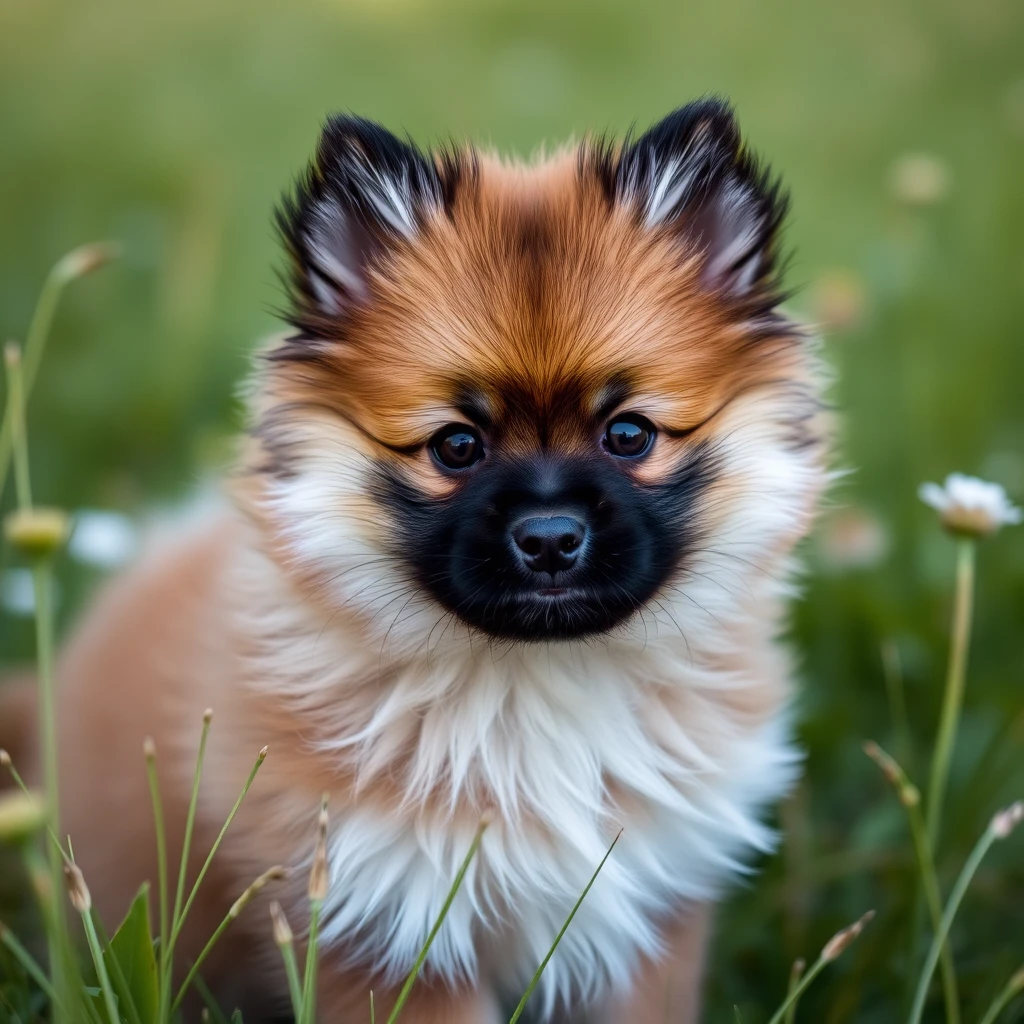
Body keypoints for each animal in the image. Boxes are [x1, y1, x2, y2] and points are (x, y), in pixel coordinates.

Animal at [4, 97, 827, 1024]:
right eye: (456, 446)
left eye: (629, 435)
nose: (550, 537)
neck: (536, 685)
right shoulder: (389, 928)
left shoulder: (647, 917)